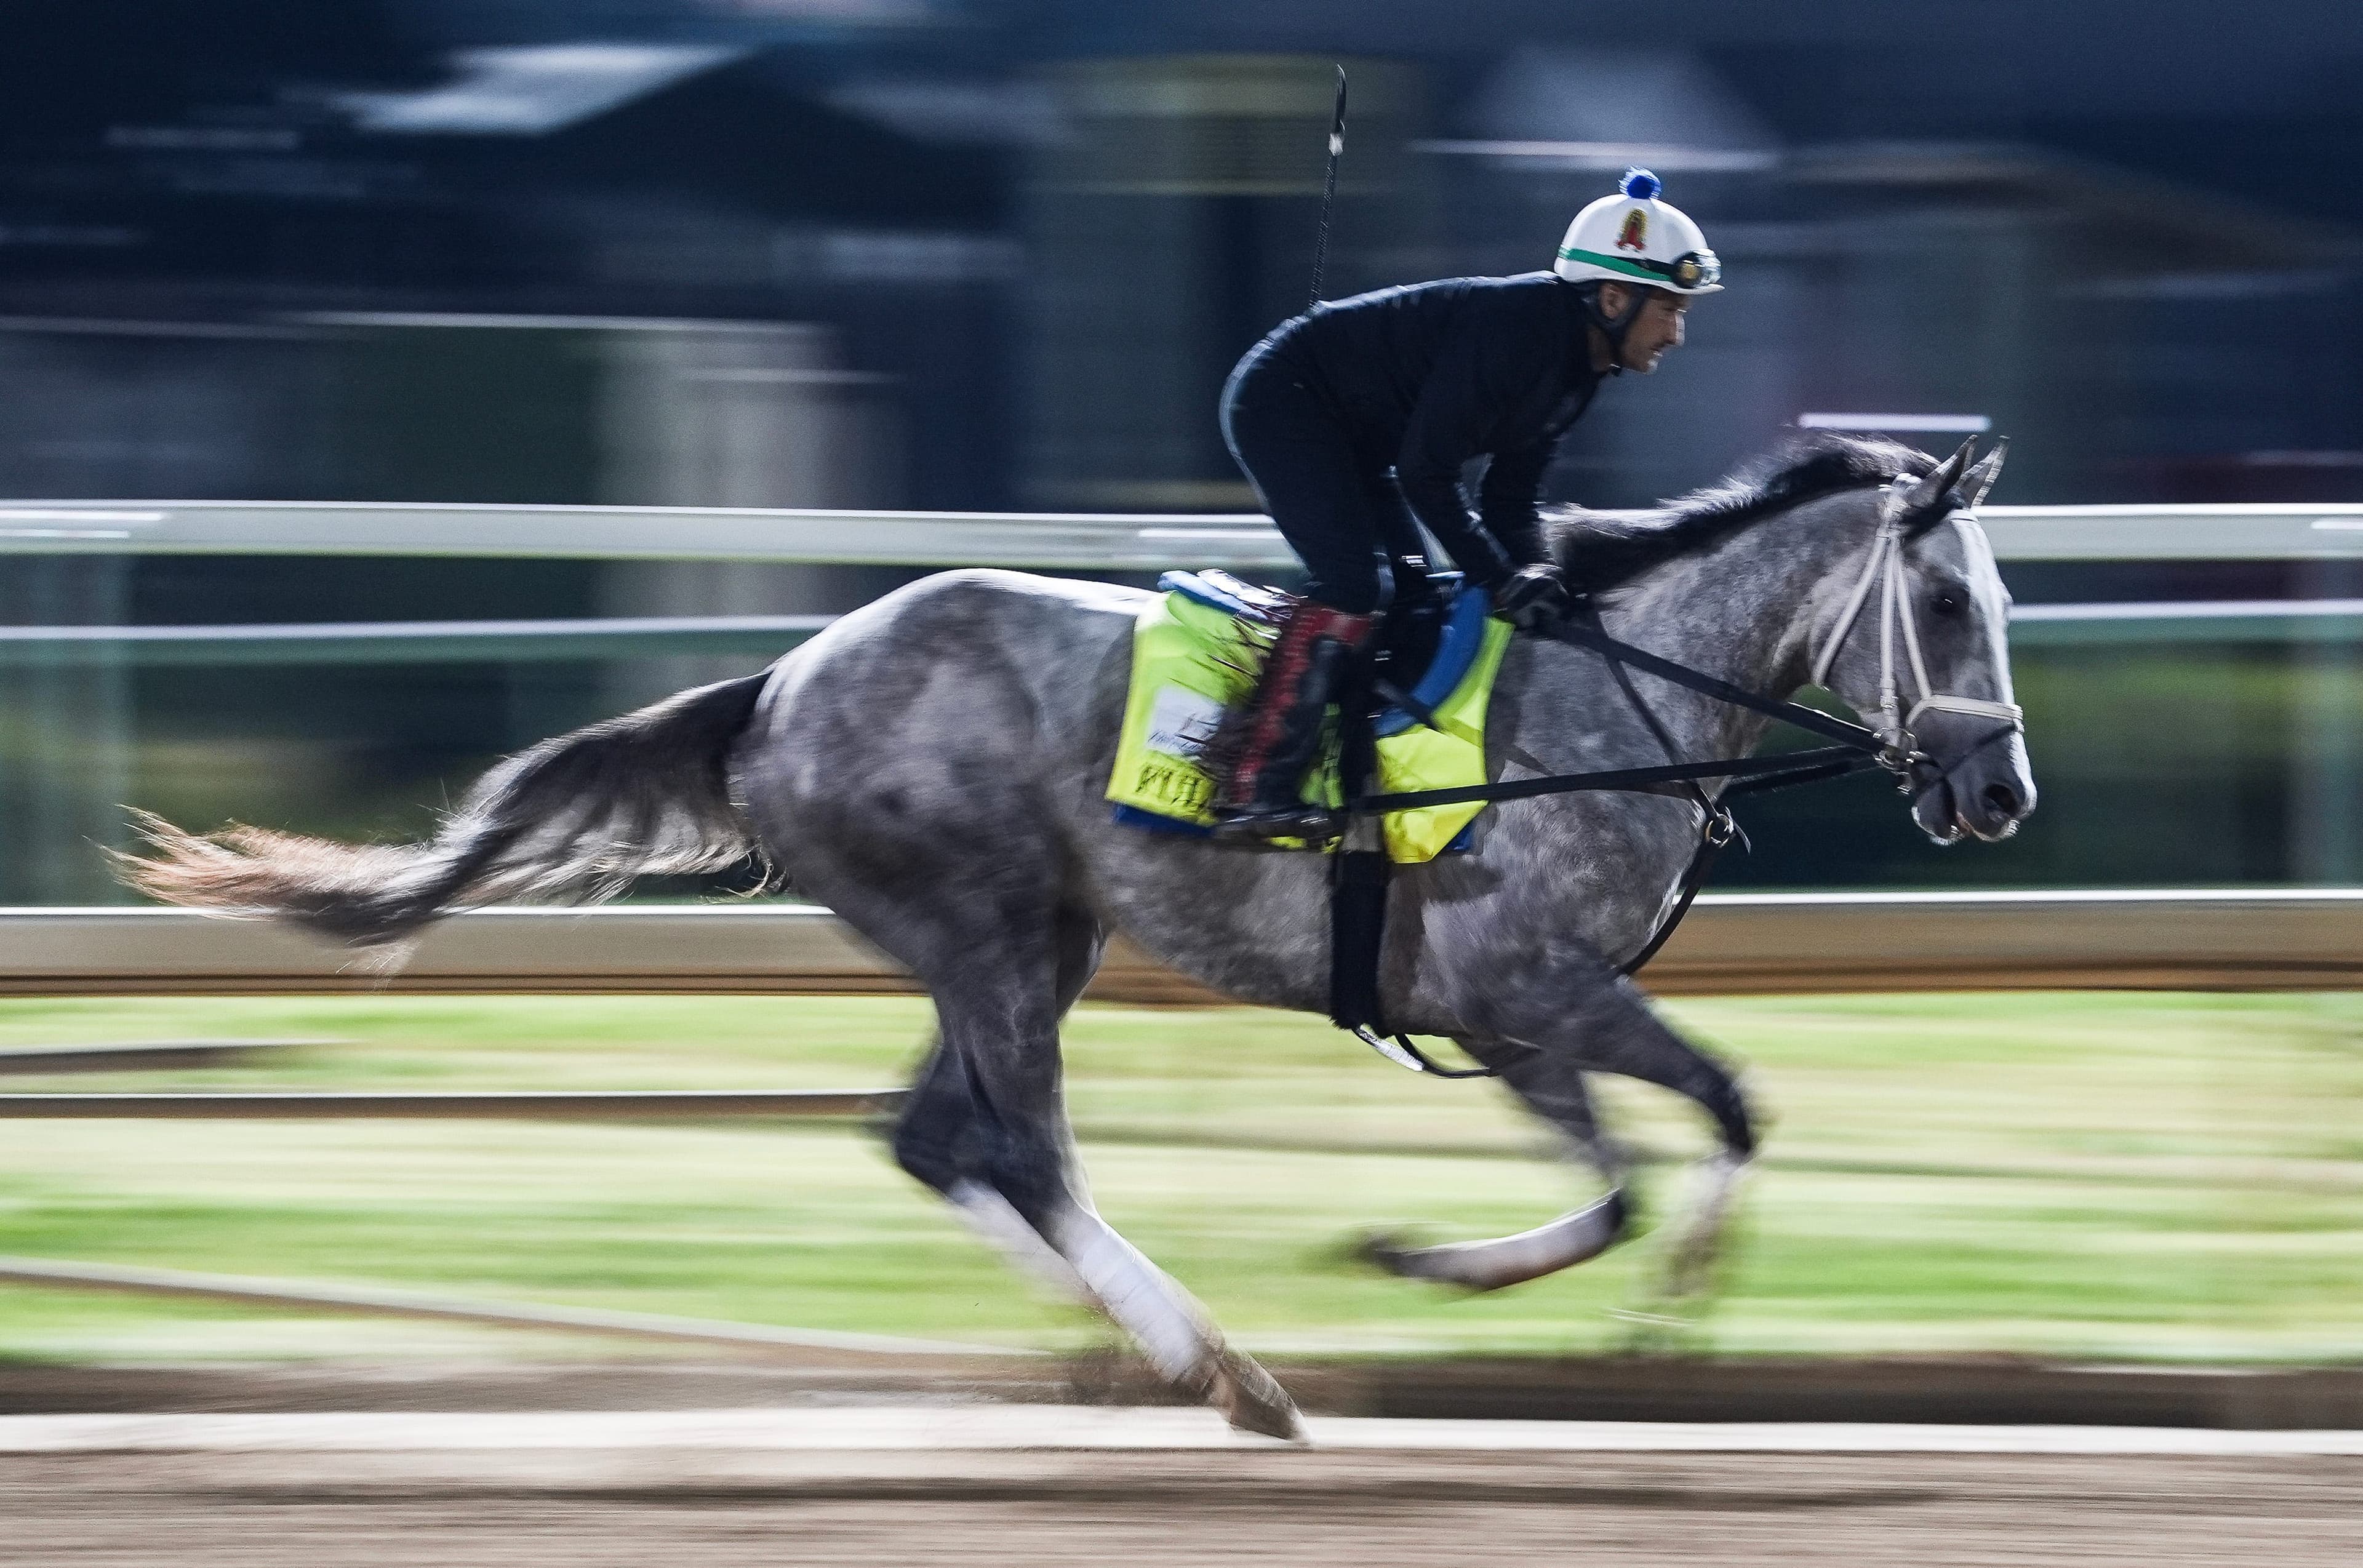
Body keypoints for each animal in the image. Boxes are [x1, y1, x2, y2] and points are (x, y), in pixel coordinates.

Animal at [119, 433, 2034, 1441]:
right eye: (1946, 602)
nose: (1997, 787)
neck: (1616, 700)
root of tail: (781, 682)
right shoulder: (1529, 985)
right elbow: (1699, 1129)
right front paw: (1514, 1283)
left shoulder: (1508, 1016)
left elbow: (1657, 1158)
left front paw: (1573, 1297)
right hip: (983, 926)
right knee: (1020, 1147)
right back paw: (1220, 1364)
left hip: (1031, 935)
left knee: (931, 1137)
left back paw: (1154, 1353)